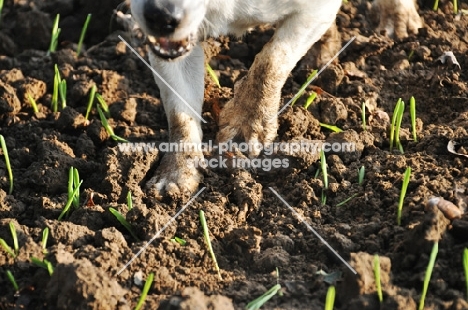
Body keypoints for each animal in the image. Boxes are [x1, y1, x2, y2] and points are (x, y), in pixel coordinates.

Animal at [130, 0, 422, 199]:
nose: (159, 15)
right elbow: (181, 113)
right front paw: (175, 177)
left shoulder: (314, 10)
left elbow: (272, 58)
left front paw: (247, 129)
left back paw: (400, 23)